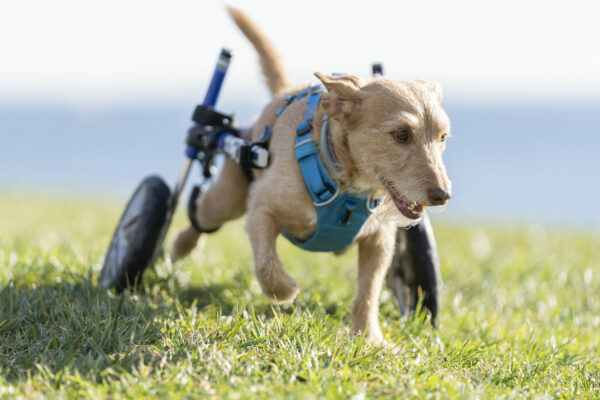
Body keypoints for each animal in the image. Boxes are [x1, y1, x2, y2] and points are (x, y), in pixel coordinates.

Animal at [172, 7, 450, 344]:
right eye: (401, 134)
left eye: (442, 137)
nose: (442, 195)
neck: (345, 185)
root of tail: (281, 94)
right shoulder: (262, 207)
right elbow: (266, 266)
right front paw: (285, 291)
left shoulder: (380, 238)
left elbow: (368, 291)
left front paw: (368, 337)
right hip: (228, 197)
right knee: (201, 213)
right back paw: (179, 246)